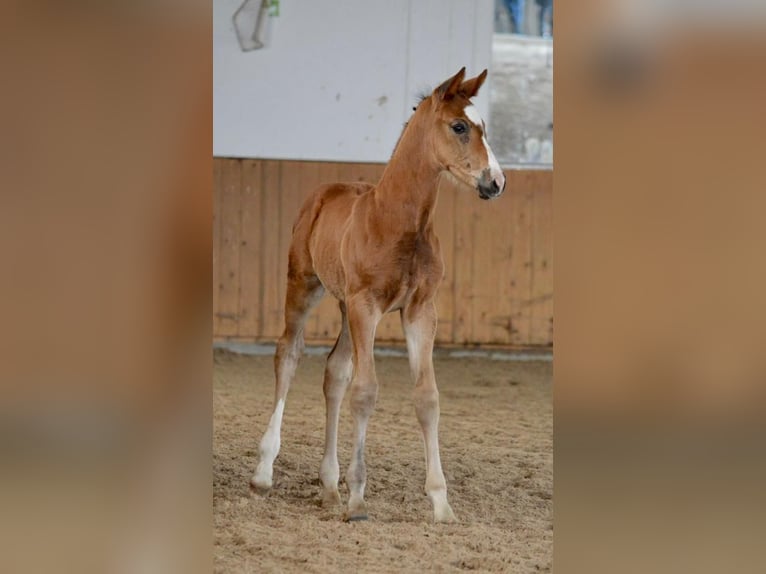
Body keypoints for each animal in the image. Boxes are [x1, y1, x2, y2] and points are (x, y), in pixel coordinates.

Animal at [250, 67, 506, 523]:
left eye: (485, 129)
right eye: (459, 127)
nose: (495, 182)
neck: (397, 223)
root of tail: (324, 191)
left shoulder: (420, 311)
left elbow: (426, 397)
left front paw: (440, 502)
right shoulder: (366, 305)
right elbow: (366, 391)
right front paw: (357, 499)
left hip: (343, 304)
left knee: (335, 373)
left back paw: (329, 485)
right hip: (304, 286)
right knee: (289, 355)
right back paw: (265, 472)